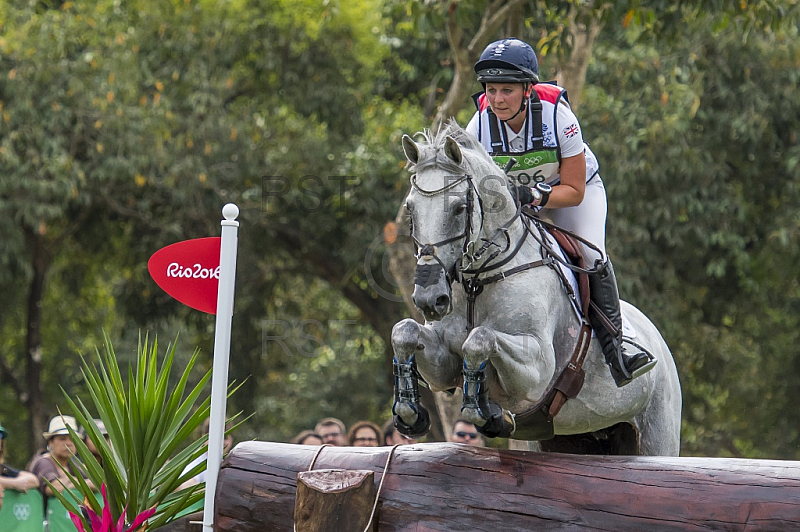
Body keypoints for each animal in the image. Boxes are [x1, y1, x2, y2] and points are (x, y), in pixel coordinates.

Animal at [390, 122, 680, 456]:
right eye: (410, 209)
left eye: (459, 208)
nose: (430, 300)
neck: (480, 280)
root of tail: (661, 344)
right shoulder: (443, 362)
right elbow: (404, 331)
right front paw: (409, 411)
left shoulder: (538, 368)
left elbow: (479, 339)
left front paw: (484, 412)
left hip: (658, 432)